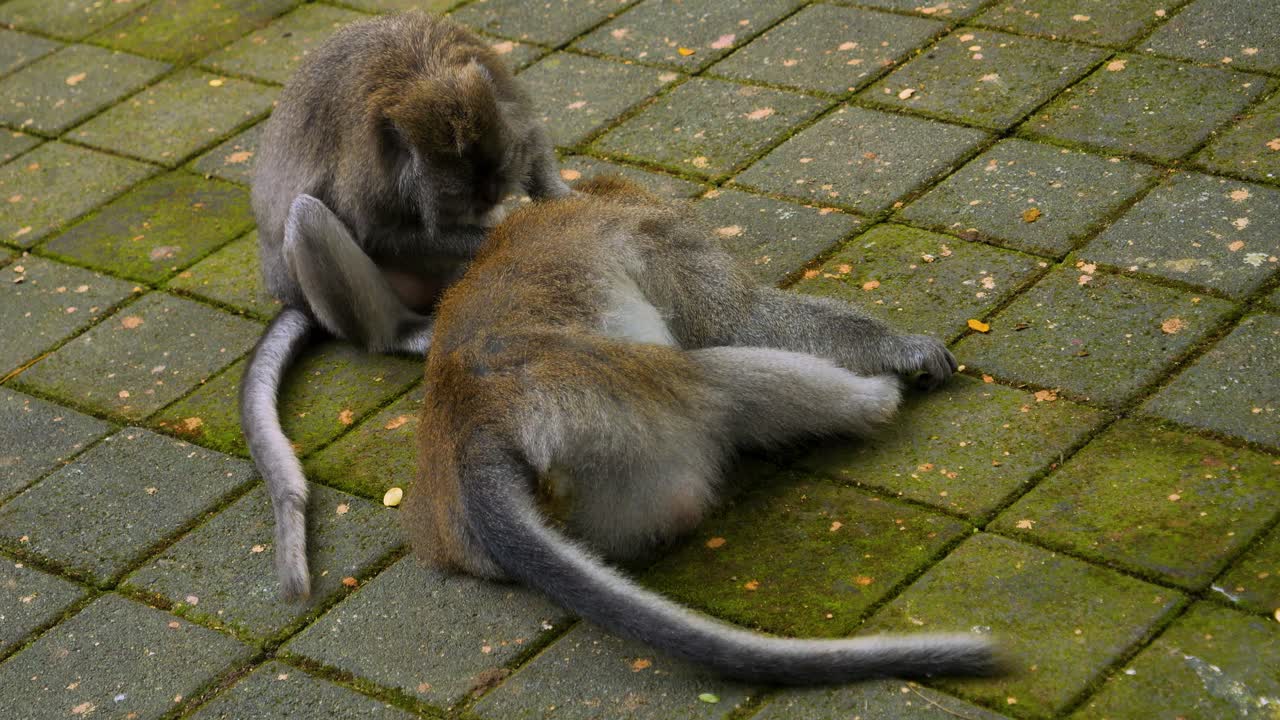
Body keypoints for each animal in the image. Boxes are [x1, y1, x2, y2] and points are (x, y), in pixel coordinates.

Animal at [240, 12, 571, 600]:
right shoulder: (371, 167)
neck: (423, 72)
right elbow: (377, 230)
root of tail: (295, 300)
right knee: (308, 214)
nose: (489, 203)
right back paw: (402, 333)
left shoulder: (502, 91)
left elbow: (533, 142)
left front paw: (564, 202)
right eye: (463, 195)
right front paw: (509, 229)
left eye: (497, 176)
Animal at [403, 176, 1000, 683]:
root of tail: (476, 431)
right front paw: (902, 347)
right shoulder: (668, 242)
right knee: (715, 376)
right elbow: (744, 322)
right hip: (618, 413)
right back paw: (871, 403)